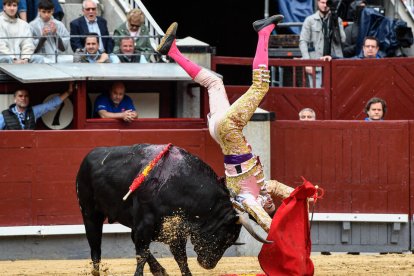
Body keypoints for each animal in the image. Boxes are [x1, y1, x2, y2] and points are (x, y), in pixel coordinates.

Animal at [75, 143, 256, 274]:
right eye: (226, 236)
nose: (209, 264)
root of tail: (88, 157)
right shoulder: (145, 224)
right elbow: (141, 255)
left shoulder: (175, 229)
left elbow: (181, 258)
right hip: (90, 213)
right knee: (95, 246)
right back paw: (96, 271)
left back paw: (159, 270)